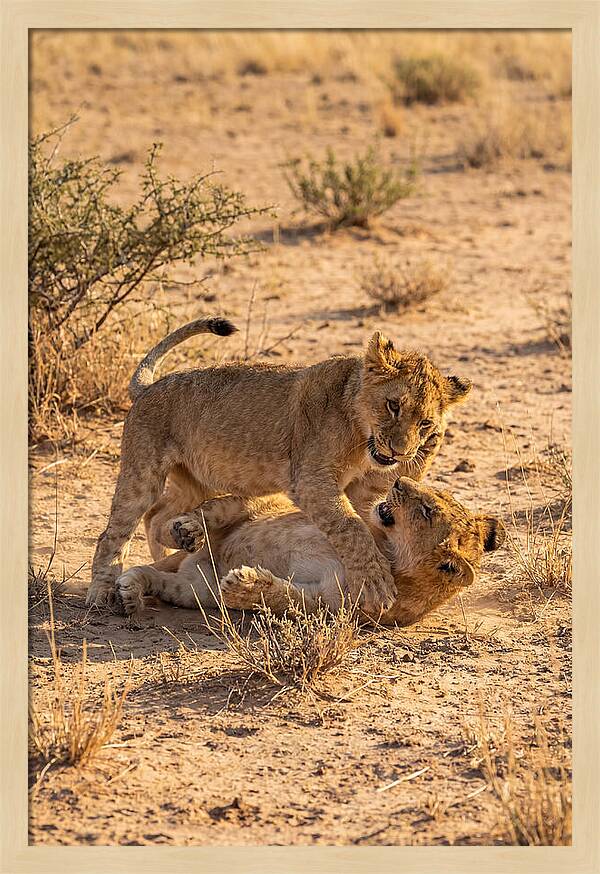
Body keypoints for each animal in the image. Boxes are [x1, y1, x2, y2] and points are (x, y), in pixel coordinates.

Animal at [88, 316, 471, 615]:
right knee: (114, 532)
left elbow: (364, 522)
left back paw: (177, 546)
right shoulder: (312, 480)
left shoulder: (365, 491)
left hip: (196, 480)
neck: (360, 435)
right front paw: (376, 582)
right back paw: (102, 593)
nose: (399, 451)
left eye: (425, 423)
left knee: (157, 516)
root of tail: (149, 387)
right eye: (393, 405)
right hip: (143, 471)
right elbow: (351, 528)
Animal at [115, 477, 505, 626]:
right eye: (433, 494)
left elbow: (284, 598)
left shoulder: (327, 605)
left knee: (158, 578)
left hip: (195, 589)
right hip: (249, 510)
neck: (385, 549)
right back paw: (183, 533)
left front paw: (244, 585)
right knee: (216, 510)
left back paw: (130, 592)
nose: (397, 481)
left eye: (427, 510)